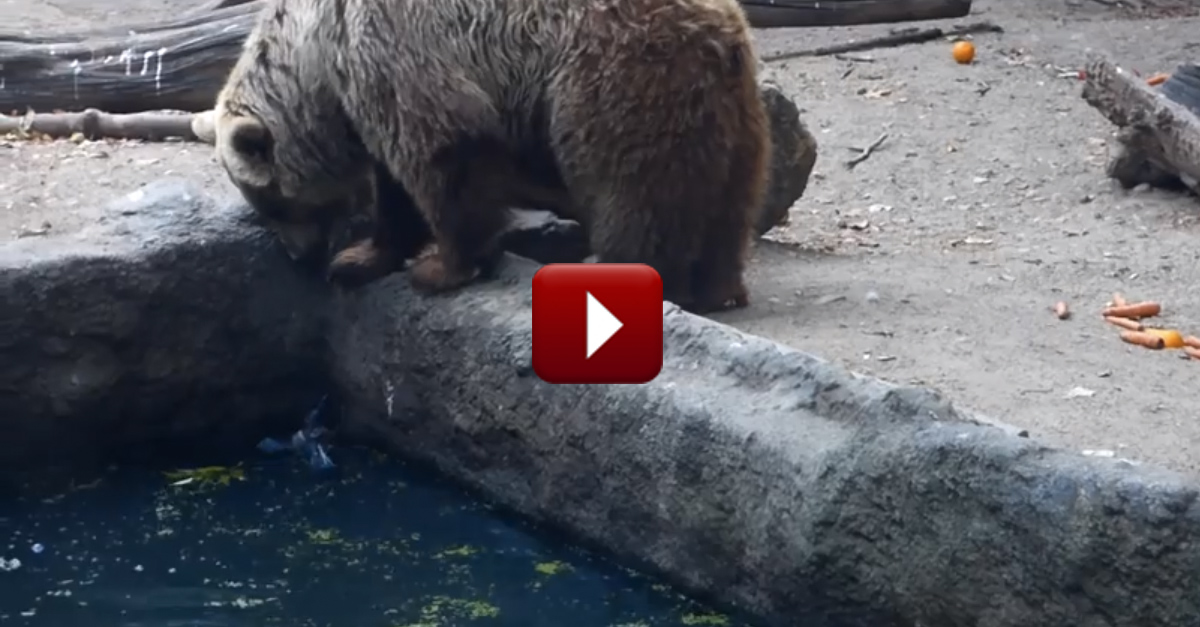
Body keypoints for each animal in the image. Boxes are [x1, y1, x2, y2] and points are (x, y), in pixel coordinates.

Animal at [211, 0, 772, 309]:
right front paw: (359, 259)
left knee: (633, 191)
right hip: (735, 109)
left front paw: (441, 268)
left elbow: (443, 154)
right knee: (730, 197)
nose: (299, 257)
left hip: (611, 80)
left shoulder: (394, 50)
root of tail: (719, 31)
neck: (314, 51)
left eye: (272, 202)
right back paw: (718, 285)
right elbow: (394, 184)